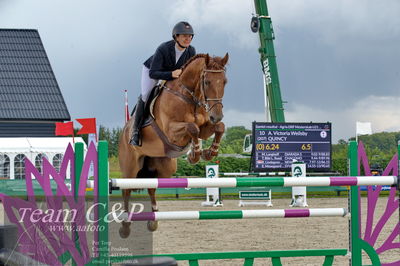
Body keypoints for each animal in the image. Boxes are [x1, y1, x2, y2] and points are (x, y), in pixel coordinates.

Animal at [118, 53, 228, 238]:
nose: (216, 115)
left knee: (152, 188)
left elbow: (218, 128)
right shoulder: (171, 131)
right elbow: (192, 127)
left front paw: (208, 152)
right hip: (130, 167)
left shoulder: (206, 127)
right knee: (127, 189)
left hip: (163, 168)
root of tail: (124, 130)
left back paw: (153, 221)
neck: (188, 96)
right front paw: (195, 154)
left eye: (225, 81)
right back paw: (125, 226)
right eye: (207, 82)